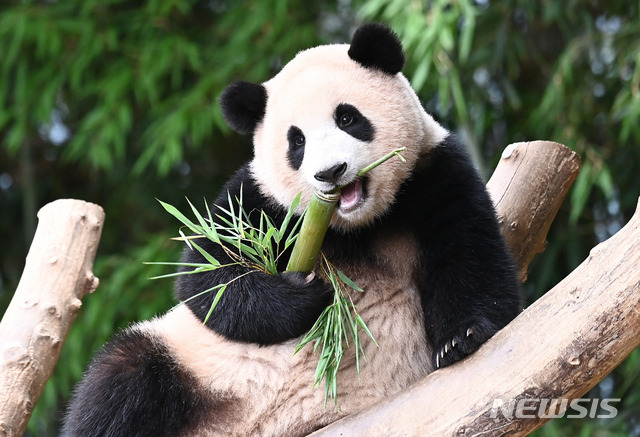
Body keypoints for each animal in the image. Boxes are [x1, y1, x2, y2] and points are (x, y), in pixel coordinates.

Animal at [63, 24, 520, 436]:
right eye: (295, 141)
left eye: (347, 117)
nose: (330, 172)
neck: (354, 226)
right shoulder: (258, 200)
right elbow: (207, 277)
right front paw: (304, 294)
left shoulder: (435, 173)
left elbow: (470, 253)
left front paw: (460, 338)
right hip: (190, 357)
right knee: (120, 380)